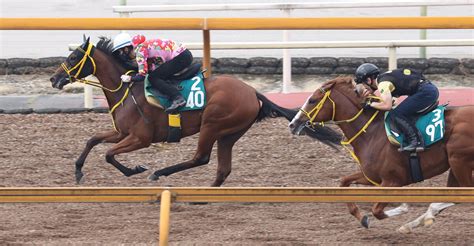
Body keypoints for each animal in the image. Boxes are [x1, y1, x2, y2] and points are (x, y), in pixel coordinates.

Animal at [49, 36, 340, 186]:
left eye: (73, 58)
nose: (54, 79)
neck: (127, 92)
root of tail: (251, 91)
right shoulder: (121, 133)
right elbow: (93, 140)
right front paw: (78, 171)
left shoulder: (140, 138)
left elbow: (109, 154)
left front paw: (137, 169)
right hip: (229, 133)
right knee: (222, 169)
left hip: (212, 124)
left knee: (201, 158)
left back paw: (160, 173)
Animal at [288, 76, 474, 231]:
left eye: (312, 100)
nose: (292, 124)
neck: (371, 133)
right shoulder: (372, 177)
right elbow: (344, 182)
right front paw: (362, 218)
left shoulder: (393, 181)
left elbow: (377, 210)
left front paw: (402, 208)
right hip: (454, 164)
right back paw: (419, 220)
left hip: (459, 161)